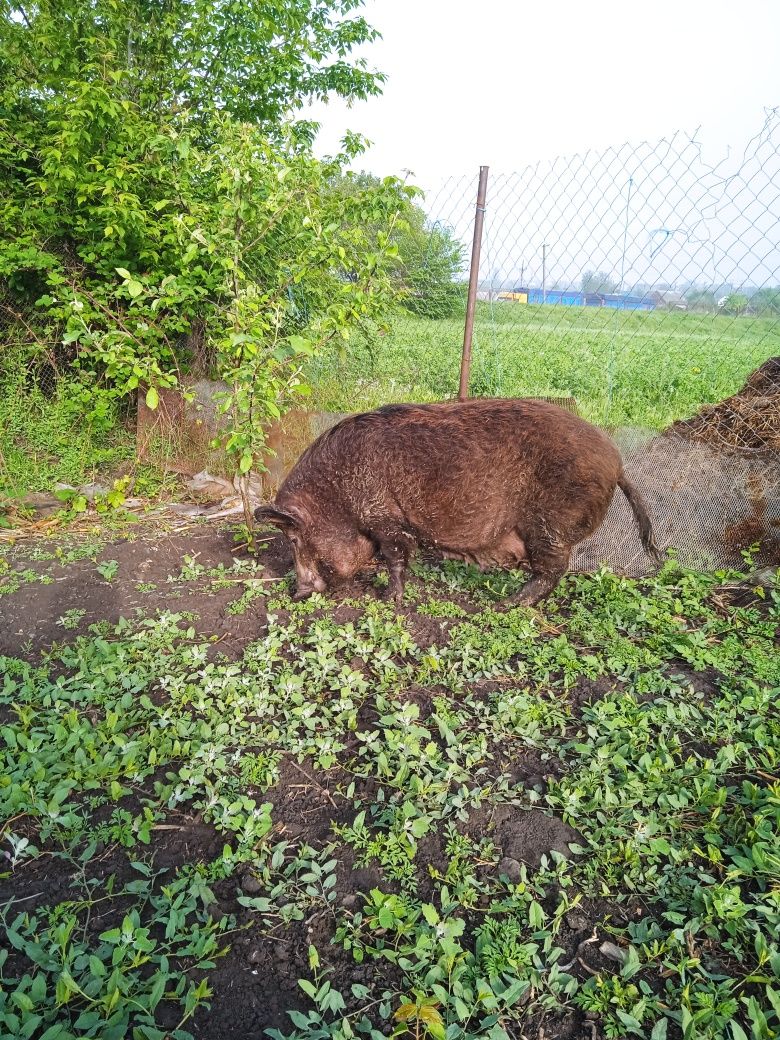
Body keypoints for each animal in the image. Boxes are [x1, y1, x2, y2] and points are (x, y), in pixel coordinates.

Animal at [256, 399, 661, 607]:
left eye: (294, 538)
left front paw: (390, 598)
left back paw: (506, 604)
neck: (335, 495)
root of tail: (617, 461)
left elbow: (396, 556)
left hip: (551, 525)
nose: (297, 591)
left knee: (554, 569)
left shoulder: (386, 518)